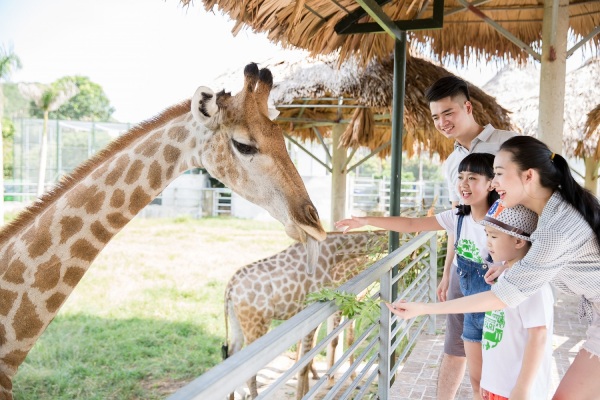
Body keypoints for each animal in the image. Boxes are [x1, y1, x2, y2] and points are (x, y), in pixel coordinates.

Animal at [223, 230, 386, 398]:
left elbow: (308, 359)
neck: (332, 254)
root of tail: (230, 289)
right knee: (248, 374)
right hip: (256, 324)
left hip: (237, 323)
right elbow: (305, 364)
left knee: (231, 359)